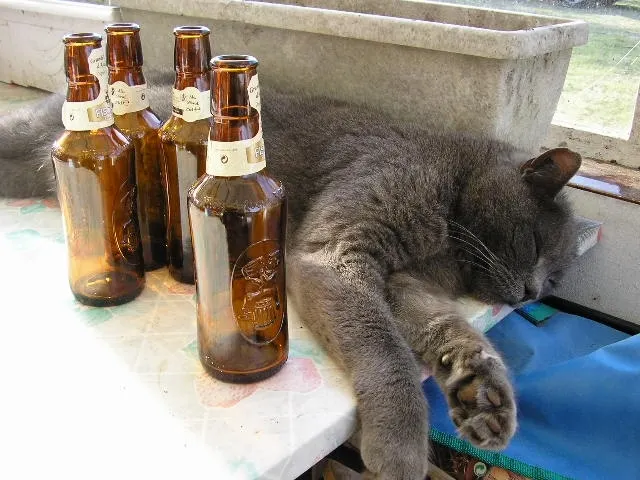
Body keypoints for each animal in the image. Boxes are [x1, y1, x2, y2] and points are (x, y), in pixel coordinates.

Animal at [0, 72, 581, 480]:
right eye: (534, 244)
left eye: (554, 280)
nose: (531, 292)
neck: (449, 210)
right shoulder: (338, 251)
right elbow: (385, 347)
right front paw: (399, 448)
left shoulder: (406, 281)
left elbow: (448, 329)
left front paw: (482, 393)